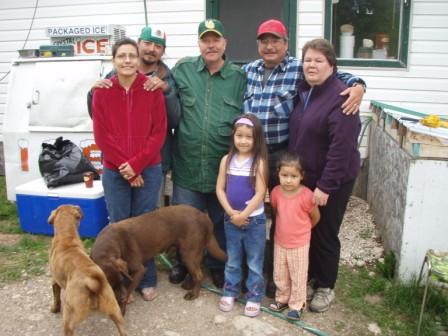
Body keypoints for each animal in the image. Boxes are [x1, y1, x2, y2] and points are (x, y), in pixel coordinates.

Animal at [48, 205, 127, 336]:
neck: (66, 237)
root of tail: (93, 284)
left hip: (69, 316)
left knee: (69, 328)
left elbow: (56, 297)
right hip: (116, 312)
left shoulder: (55, 281)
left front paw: (54, 309)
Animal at [90, 205, 226, 316]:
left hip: (189, 252)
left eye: (120, 281)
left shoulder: (139, 270)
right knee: (199, 267)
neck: (108, 245)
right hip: (193, 252)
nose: (122, 299)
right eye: (110, 286)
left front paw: (122, 309)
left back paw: (193, 294)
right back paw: (189, 285)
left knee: (199, 274)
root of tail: (204, 216)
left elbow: (128, 290)